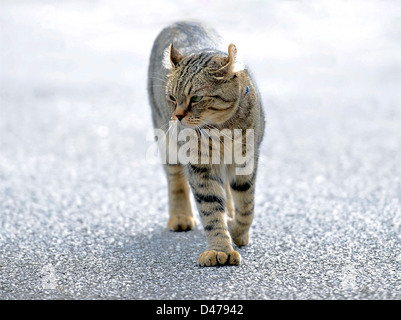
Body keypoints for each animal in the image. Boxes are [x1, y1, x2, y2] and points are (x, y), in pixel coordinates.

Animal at [146, 21, 262, 266]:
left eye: (197, 98)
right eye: (172, 97)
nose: (178, 116)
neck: (222, 130)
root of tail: (182, 20)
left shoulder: (247, 161)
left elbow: (247, 205)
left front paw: (237, 231)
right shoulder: (200, 165)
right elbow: (210, 206)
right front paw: (220, 249)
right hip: (166, 140)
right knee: (176, 180)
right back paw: (180, 217)